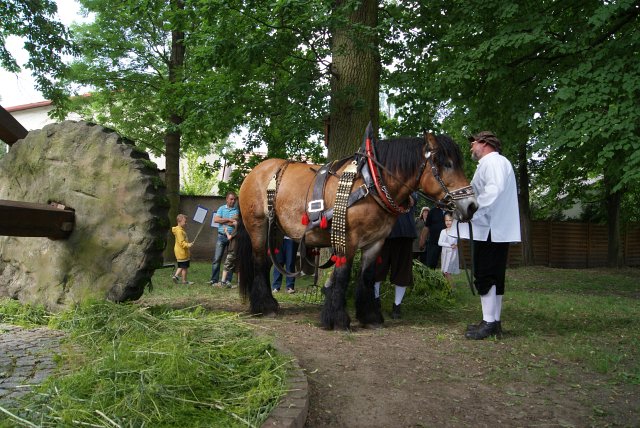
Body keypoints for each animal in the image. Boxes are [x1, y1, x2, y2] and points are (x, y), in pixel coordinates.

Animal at [235, 129, 476, 330]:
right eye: (446, 164)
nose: (471, 205)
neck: (370, 184)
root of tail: (253, 173)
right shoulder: (348, 239)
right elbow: (342, 275)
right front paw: (337, 319)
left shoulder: (375, 242)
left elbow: (367, 276)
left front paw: (370, 317)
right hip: (258, 227)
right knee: (260, 262)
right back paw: (265, 306)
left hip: (275, 230)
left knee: (268, 263)